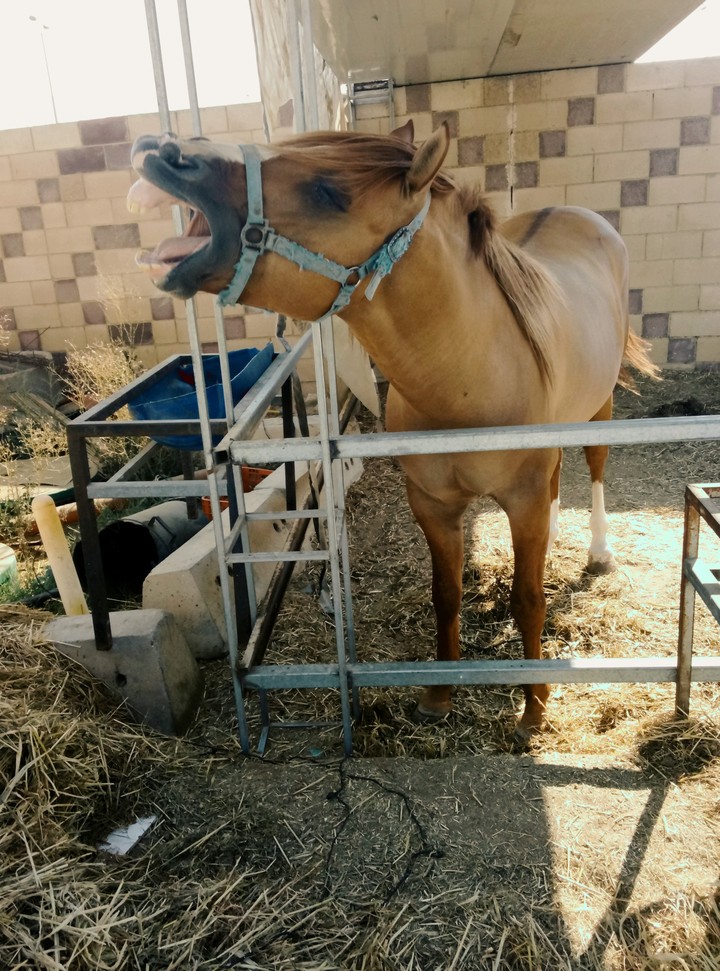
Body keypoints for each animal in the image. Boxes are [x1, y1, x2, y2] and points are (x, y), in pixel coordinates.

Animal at [128, 121, 657, 739]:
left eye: (328, 191)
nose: (161, 151)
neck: (472, 380)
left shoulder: (520, 499)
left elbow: (528, 599)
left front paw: (534, 705)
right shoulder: (432, 503)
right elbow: (445, 595)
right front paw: (441, 694)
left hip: (600, 408)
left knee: (594, 468)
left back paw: (599, 551)